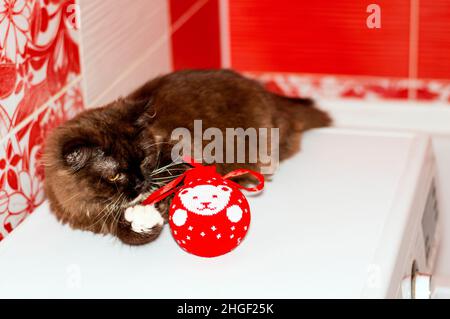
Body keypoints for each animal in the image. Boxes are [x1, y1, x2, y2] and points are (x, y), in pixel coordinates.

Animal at [43, 69, 330, 245]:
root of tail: (269, 96)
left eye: (143, 159)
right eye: (115, 175)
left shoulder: (185, 147)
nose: (141, 183)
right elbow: (127, 234)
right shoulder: (90, 217)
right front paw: (143, 220)